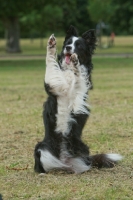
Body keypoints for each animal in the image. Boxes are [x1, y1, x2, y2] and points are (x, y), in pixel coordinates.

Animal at [33, 26, 122, 173]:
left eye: (79, 45)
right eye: (68, 43)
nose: (68, 48)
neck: (69, 72)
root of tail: (64, 161)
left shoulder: (79, 98)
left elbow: (79, 78)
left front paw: (76, 65)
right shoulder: (54, 85)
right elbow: (50, 62)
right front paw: (51, 45)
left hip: (82, 149)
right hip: (41, 147)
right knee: (46, 166)